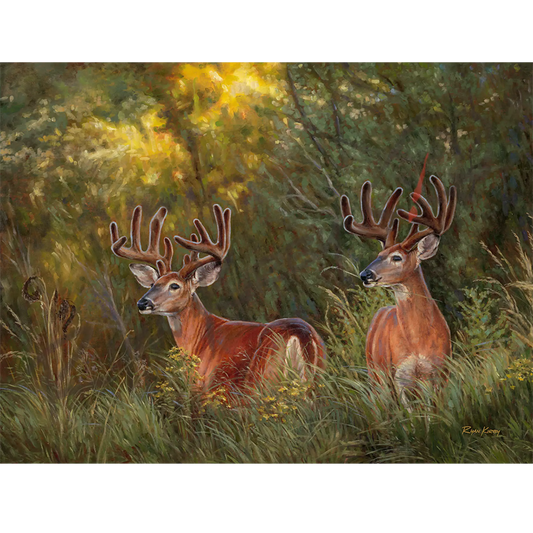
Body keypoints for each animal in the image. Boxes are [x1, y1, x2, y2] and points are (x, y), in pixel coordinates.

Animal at [109, 204, 324, 394]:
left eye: (174, 286)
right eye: (153, 284)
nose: (143, 303)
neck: (199, 339)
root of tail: (300, 335)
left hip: (261, 383)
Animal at [340, 175, 458, 404]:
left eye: (397, 257)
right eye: (379, 254)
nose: (365, 275)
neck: (418, 341)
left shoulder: (440, 372)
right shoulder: (400, 376)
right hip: (376, 373)